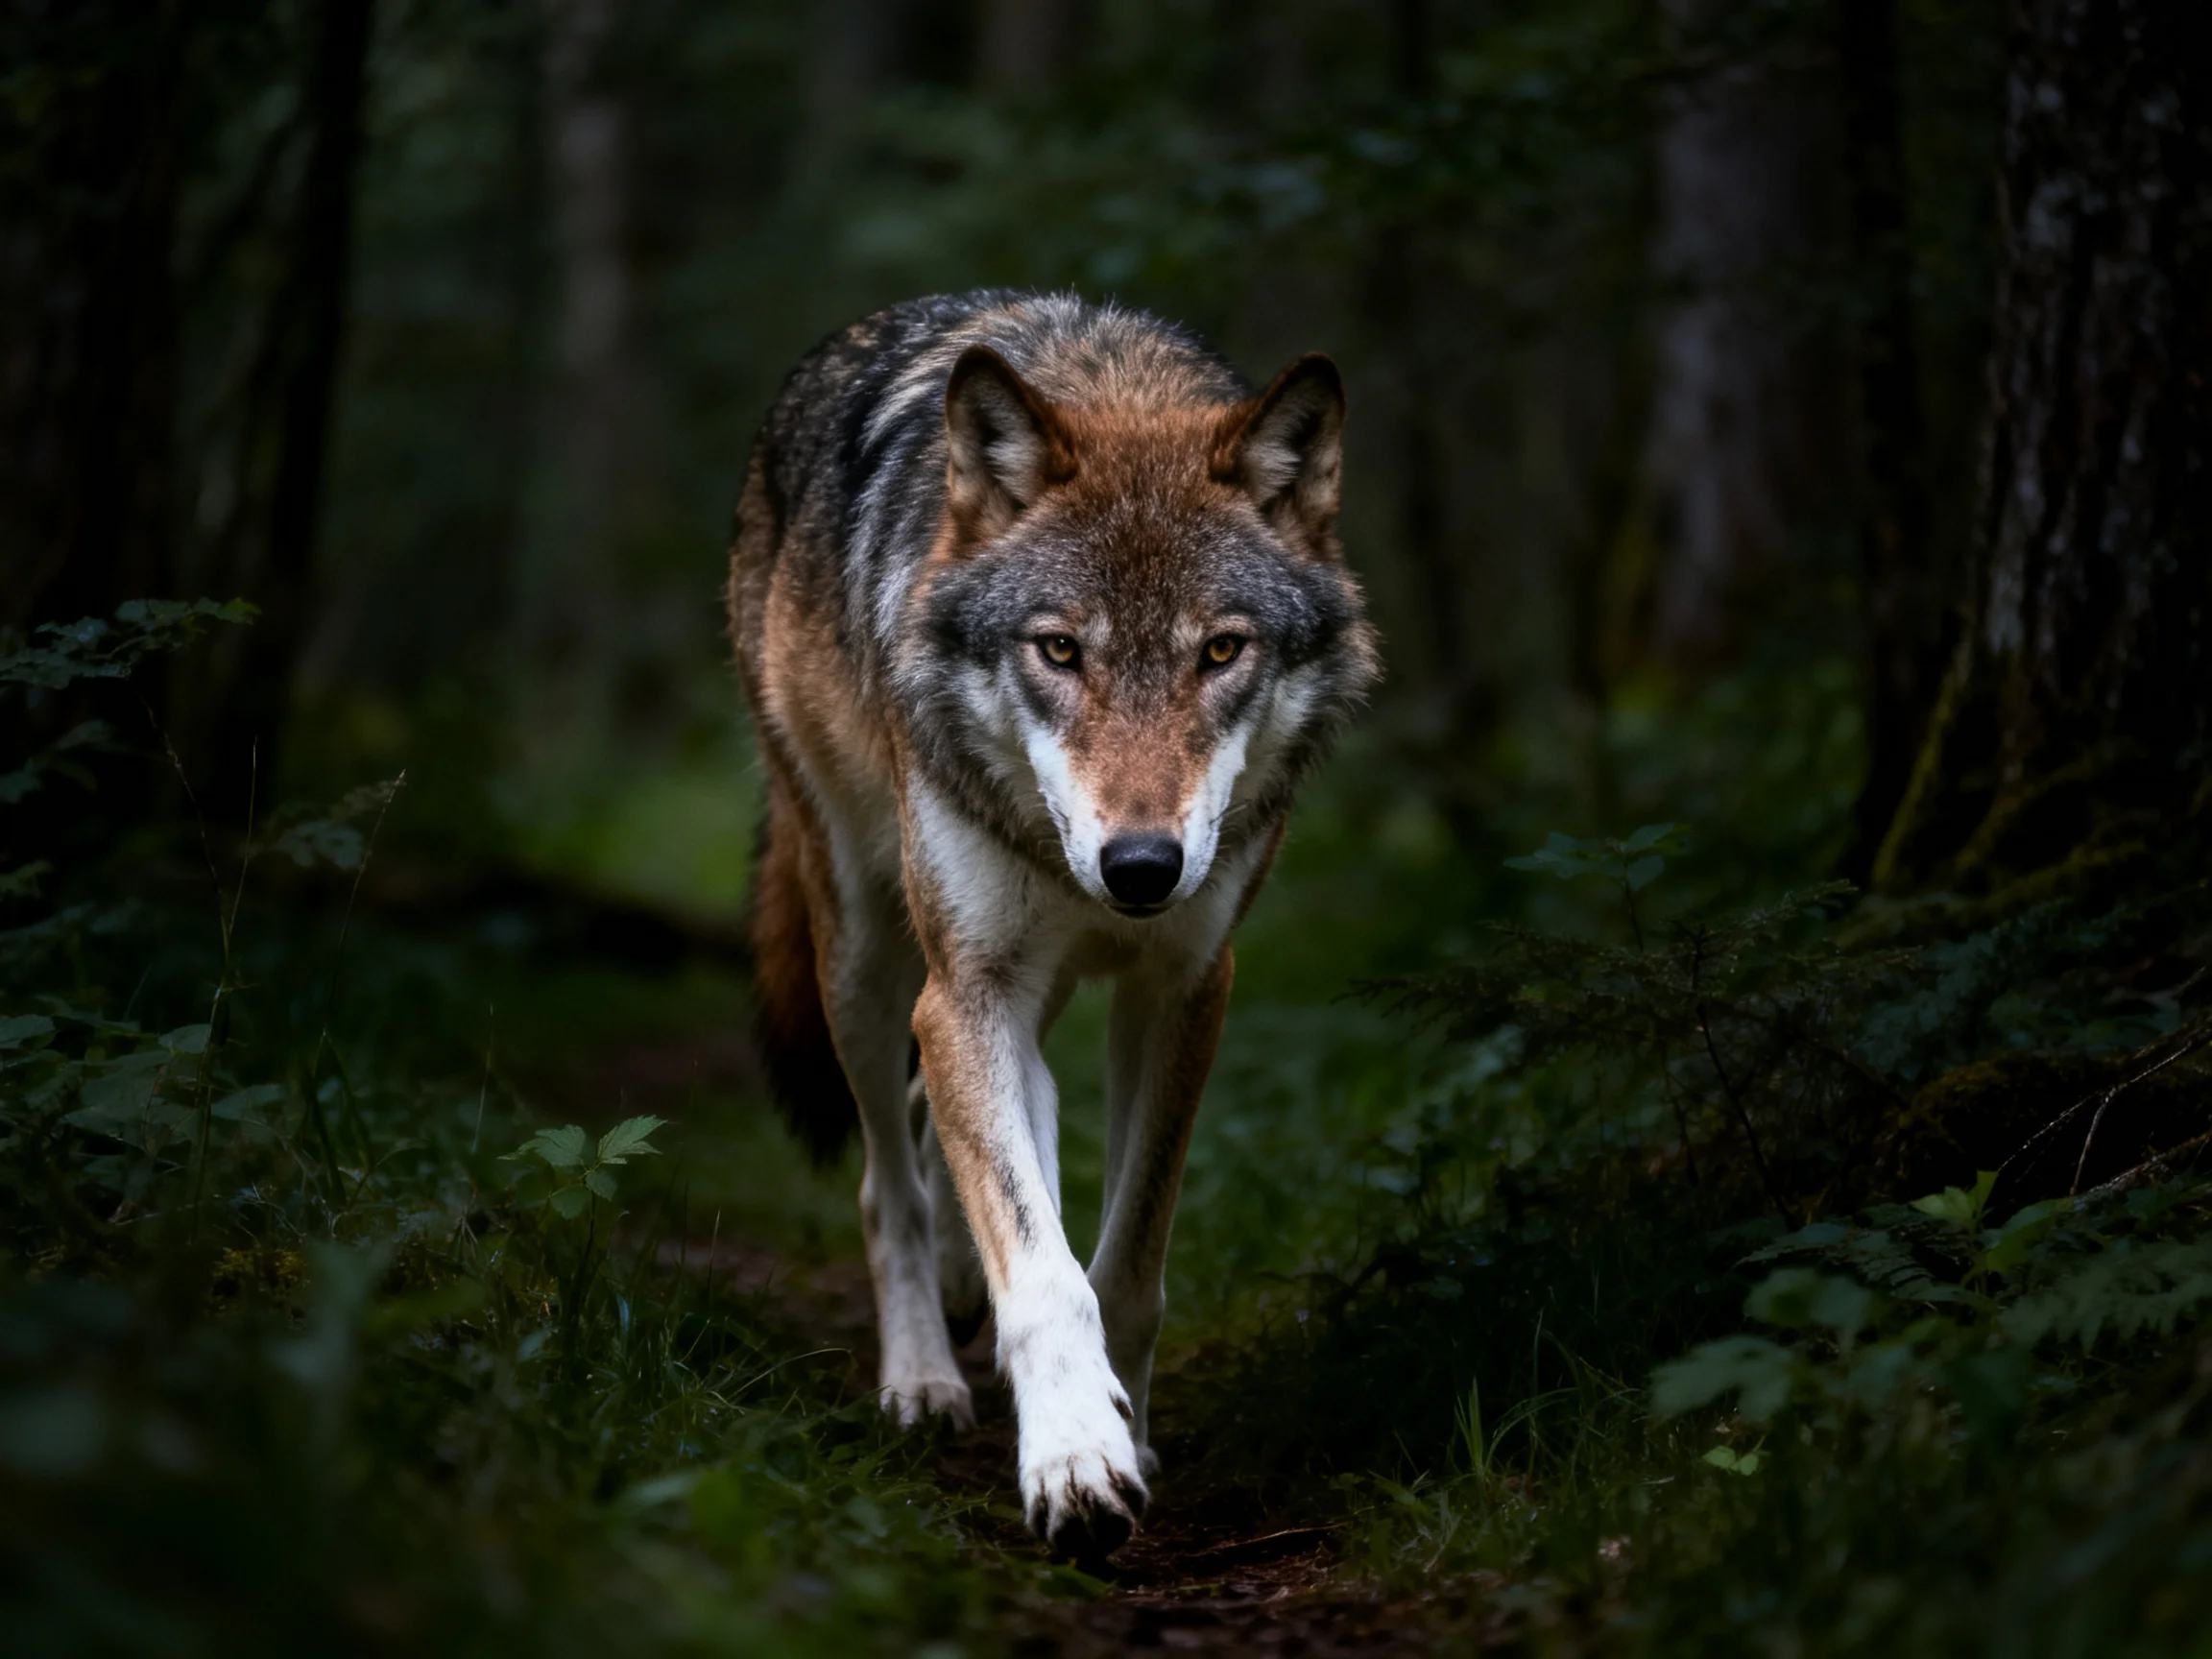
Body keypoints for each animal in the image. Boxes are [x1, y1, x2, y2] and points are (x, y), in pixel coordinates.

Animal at [727, 289, 1377, 1557]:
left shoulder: (1183, 988)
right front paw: (1076, 1457)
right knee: (890, 1181)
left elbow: (1123, 1261)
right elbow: (1044, 1271)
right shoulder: (968, 991)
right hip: (867, 958)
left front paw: (1125, 1430)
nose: (1142, 867)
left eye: (1221, 650)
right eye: (1061, 649)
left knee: (968, 1128)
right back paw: (923, 1378)